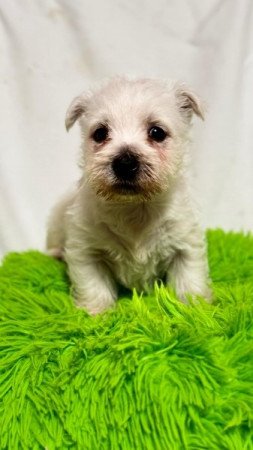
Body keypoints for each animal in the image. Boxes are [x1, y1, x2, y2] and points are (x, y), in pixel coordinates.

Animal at [46, 77, 211, 314]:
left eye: (157, 132)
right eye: (100, 133)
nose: (124, 163)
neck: (134, 208)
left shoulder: (186, 244)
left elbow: (189, 279)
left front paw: (194, 309)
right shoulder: (85, 251)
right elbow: (94, 286)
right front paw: (95, 313)